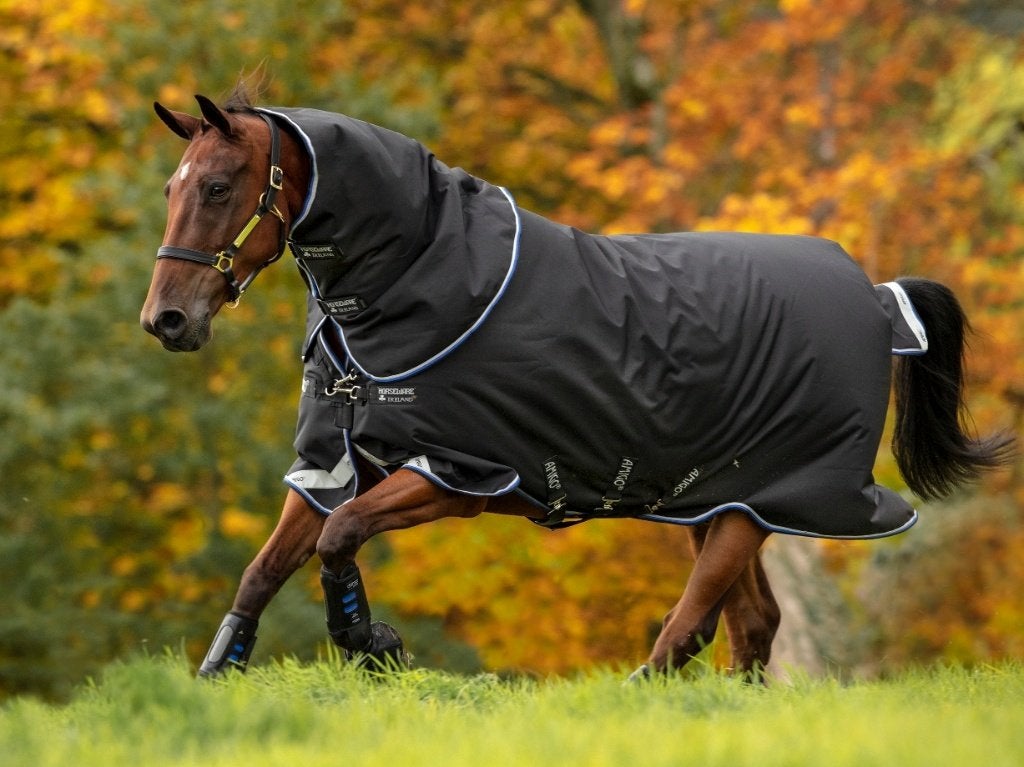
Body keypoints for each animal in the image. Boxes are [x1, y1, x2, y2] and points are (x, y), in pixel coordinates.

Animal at [140, 90, 1012, 680]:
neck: (419, 280)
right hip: (716, 499)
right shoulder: (335, 462)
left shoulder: (460, 476)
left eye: (218, 185)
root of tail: (877, 296)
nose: (167, 319)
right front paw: (221, 667)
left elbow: (339, 536)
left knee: (692, 626)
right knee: (751, 624)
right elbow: (267, 564)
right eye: (171, 187)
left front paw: (371, 643)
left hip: (766, 498)